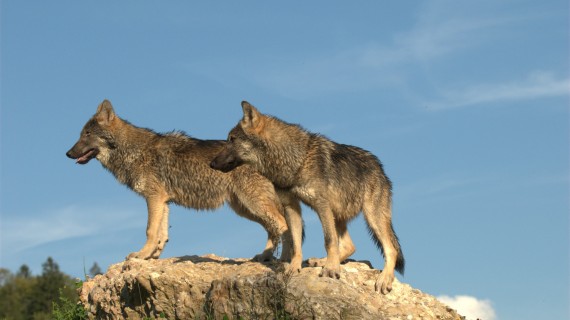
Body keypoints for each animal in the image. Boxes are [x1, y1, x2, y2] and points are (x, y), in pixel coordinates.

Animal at [66, 100, 292, 262]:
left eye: (87, 134)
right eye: (80, 134)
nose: (67, 153)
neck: (133, 152)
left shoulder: (154, 198)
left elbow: (150, 230)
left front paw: (140, 255)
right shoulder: (163, 201)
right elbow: (161, 234)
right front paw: (152, 256)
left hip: (252, 204)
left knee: (281, 224)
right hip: (244, 208)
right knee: (272, 228)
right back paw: (264, 256)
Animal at [210, 101, 404, 294]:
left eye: (231, 139)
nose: (211, 163)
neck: (296, 161)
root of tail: (380, 167)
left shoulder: (321, 205)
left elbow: (328, 240)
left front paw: (331, 269)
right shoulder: (291, 207)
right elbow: (296, 243)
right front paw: (294, 267)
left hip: (372, 217)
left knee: (391, 249)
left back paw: (384, 279)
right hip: (339, 214)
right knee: (350, 245)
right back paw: (321, 260)